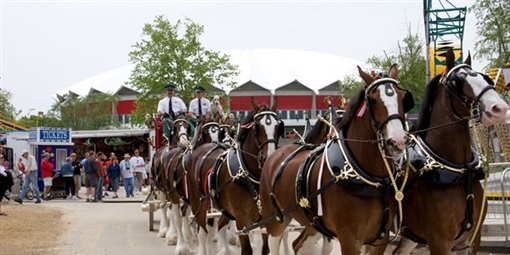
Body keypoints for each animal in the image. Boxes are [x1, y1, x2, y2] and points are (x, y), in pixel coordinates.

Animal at [187, 97, 282, 255]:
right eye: (257, 127)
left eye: (278, 126)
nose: (270, 157)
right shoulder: (241, 221)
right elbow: (247, 250)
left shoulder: (266, 220)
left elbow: (265, 249)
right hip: (198, 205)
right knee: (203, 233)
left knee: (219, 226)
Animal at [258, 64, 414, 255]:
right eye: (373, 100)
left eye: (402, 98)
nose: (397, 142)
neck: (367, 177)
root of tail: (275, 154)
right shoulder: (349, 239)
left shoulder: (379, 240)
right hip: (275, 220)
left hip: (312, 223)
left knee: (299, 245)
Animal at [392, 49, 508, 253]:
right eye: (457, 81)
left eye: (485, 78)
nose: (499, 108)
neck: (459, 171)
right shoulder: (438, 240)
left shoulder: (471, 239)